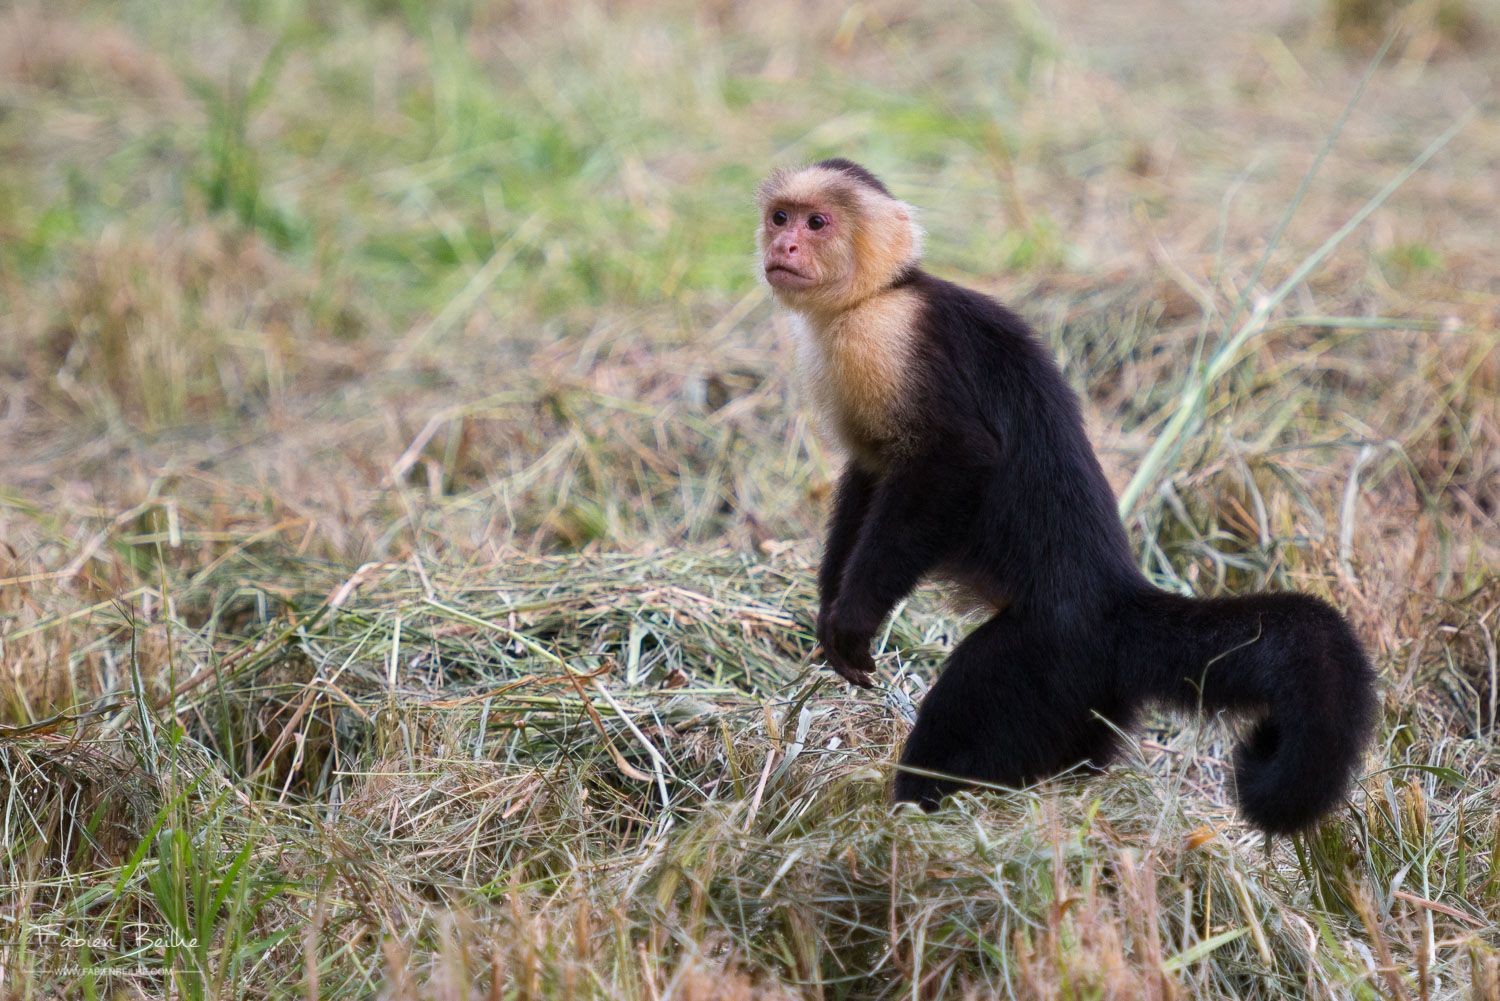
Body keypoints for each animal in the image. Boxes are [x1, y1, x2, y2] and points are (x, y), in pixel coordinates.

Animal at [762, 156, 1374, 834]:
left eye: (818, 223)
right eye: (781, 217)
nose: (784, 246)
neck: (877, 295)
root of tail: (1116, 603)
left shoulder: (889, 338)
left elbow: (957, 459)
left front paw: (855, 616)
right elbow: (870, 474)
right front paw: (829, 607)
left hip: (1045, 658)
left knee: (970, 701)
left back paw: (916, 817)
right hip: (1088, 699)